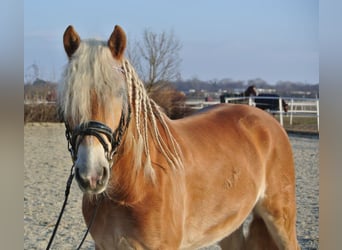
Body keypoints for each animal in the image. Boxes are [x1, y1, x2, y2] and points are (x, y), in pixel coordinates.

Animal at [60, 24, 300, 250]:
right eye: (69, 96)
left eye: (119, 93)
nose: (91, 175)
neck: (138, 182)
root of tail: (268, 121)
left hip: (281, 218)